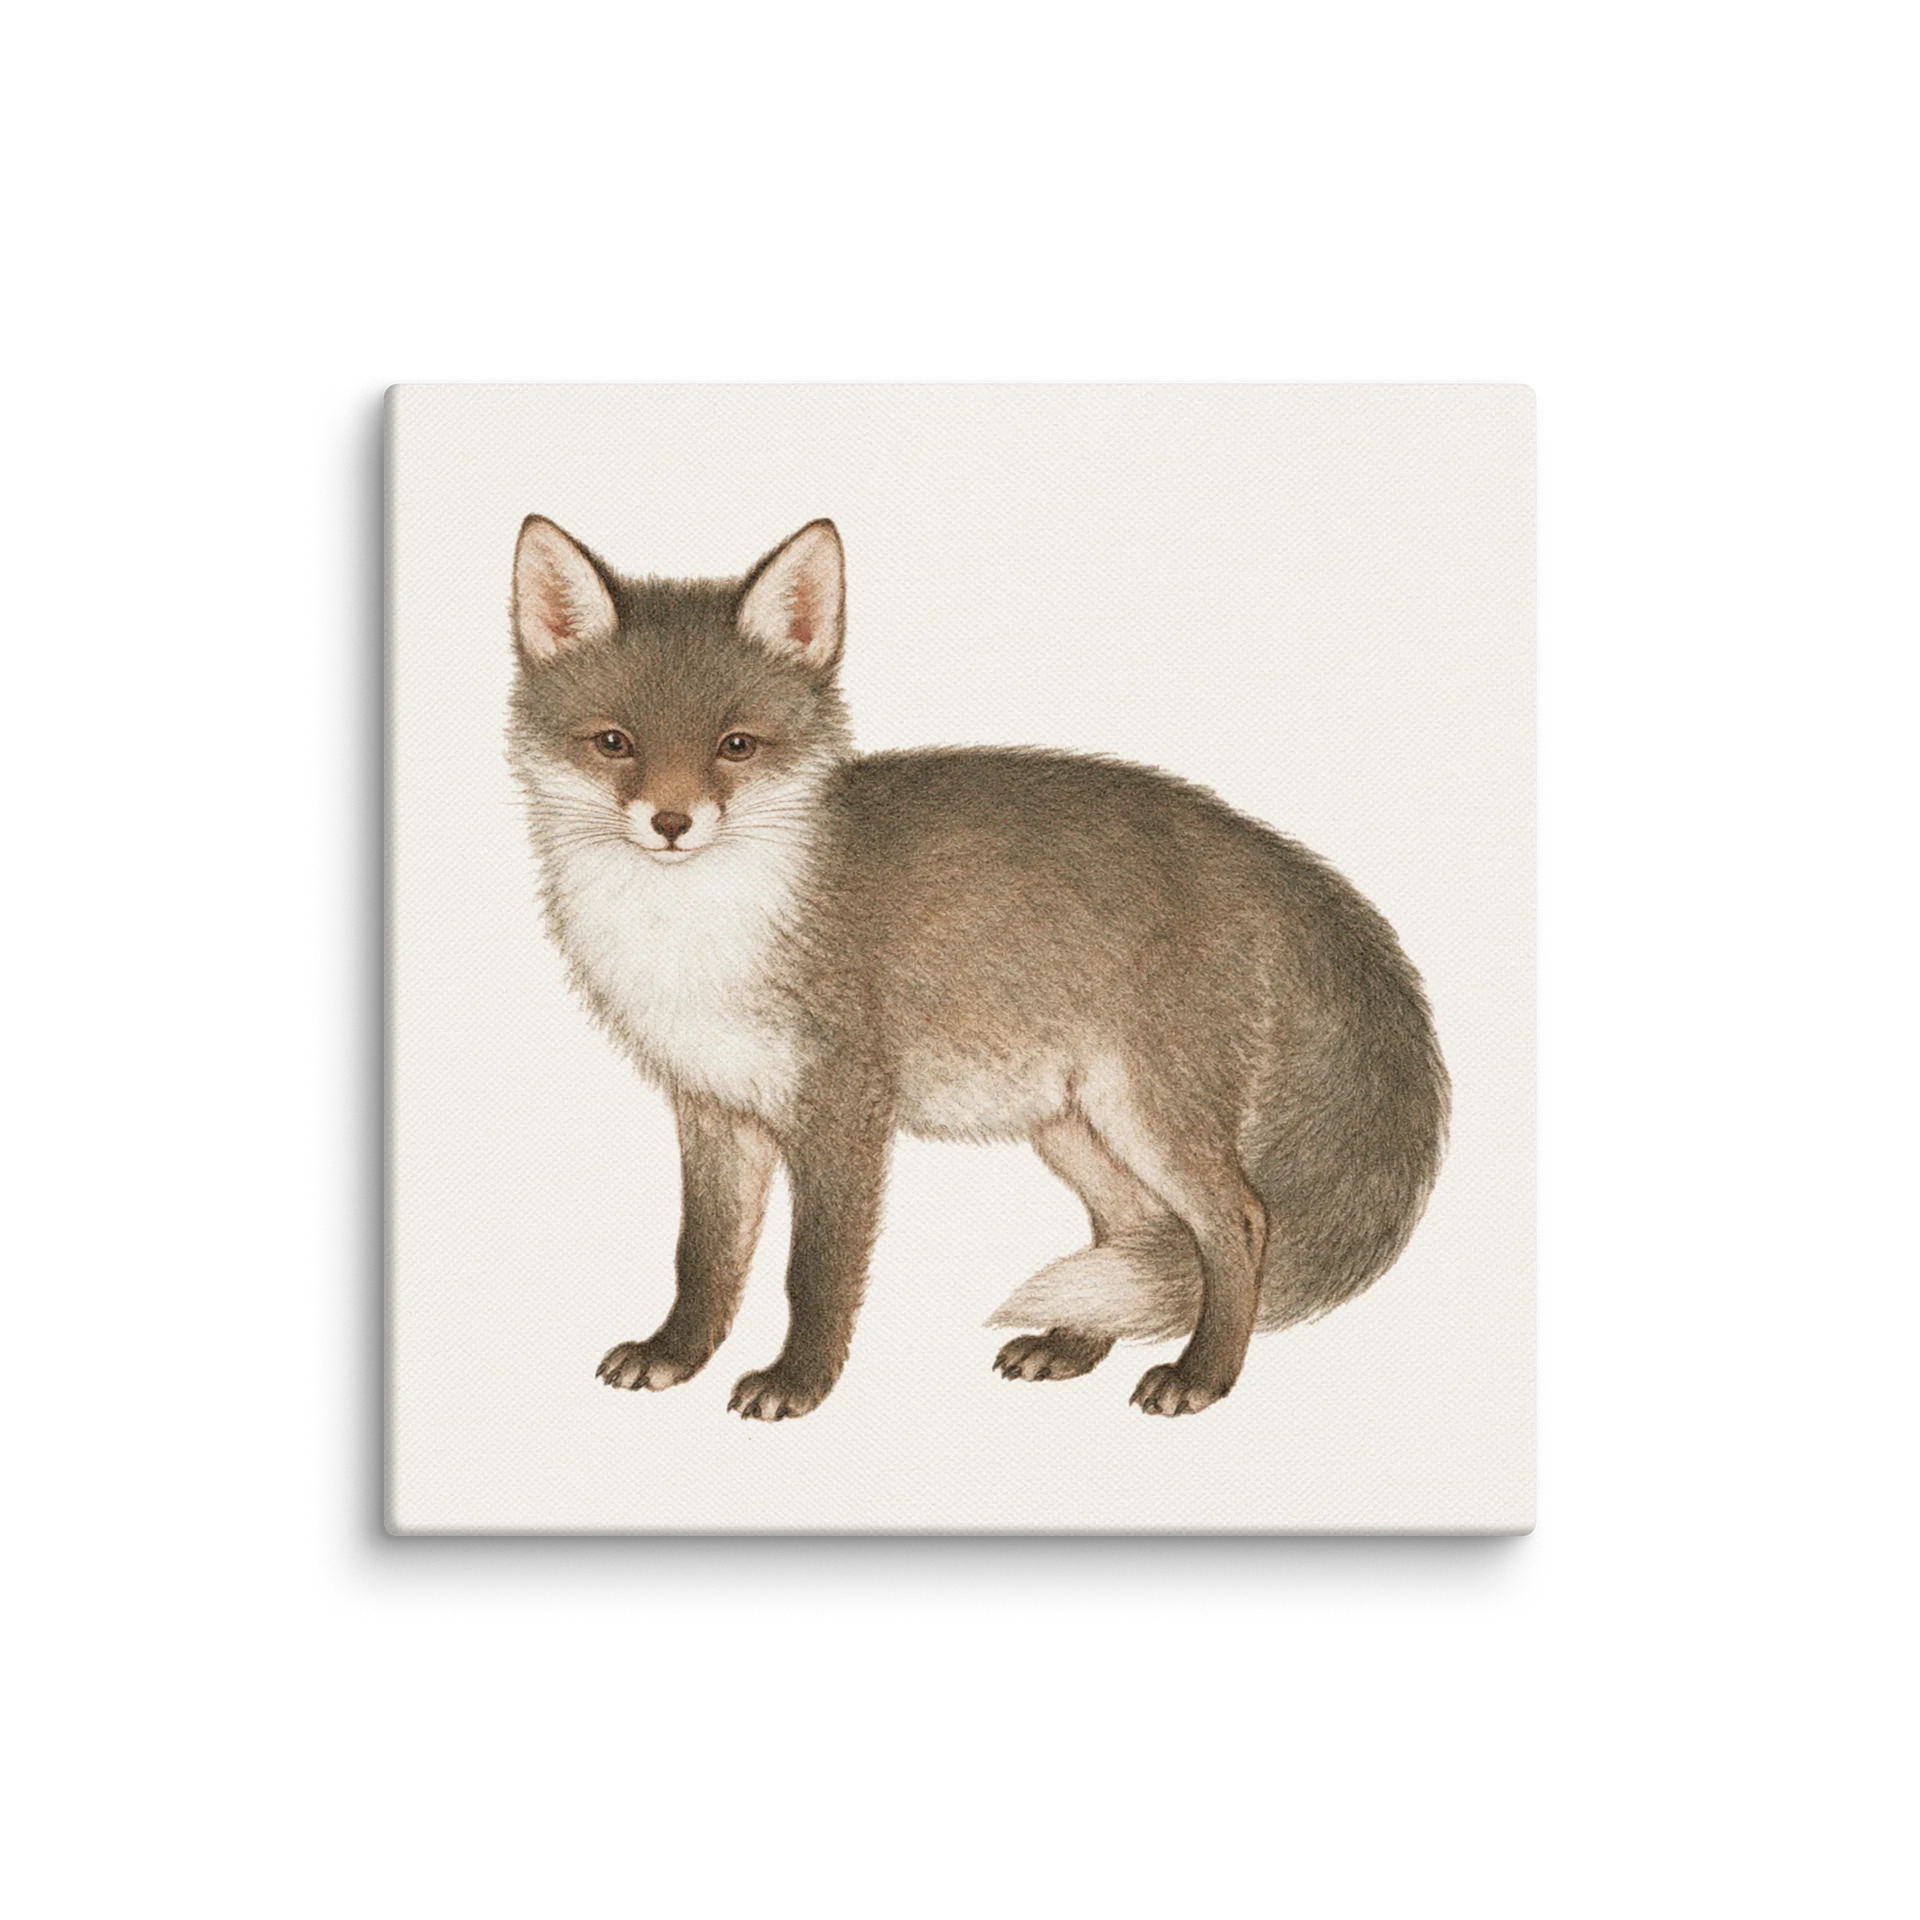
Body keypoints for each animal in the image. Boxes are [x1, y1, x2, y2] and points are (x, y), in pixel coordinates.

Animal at [507, 515, 1449, 1419]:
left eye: (736, 745)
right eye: (614, 742)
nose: (671, 823)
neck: (695, 936)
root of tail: (1263, 846)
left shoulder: (842, 1107)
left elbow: (815, 1273)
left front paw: (799, 1383)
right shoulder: (712, 1104)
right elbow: (703, 1259)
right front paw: (675, 1356)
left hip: (1148, 1110)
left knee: (1242, 1223)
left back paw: (1203, 1376)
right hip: (1076, 1125)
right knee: (1132, 1228)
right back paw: (1072, 1345)